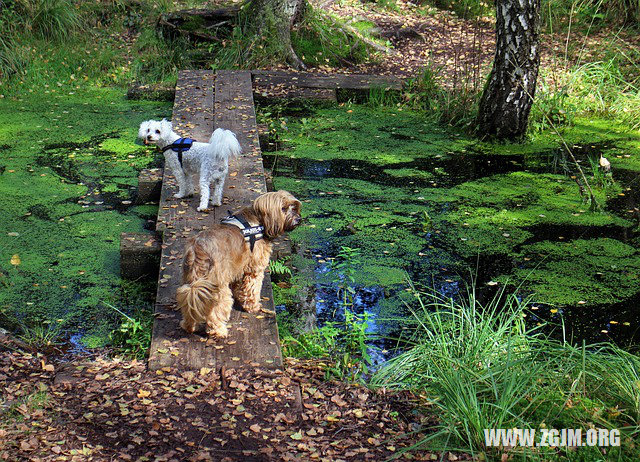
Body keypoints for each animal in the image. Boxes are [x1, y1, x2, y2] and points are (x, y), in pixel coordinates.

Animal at [176, 189, 302, 338]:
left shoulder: (238, 267)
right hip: (217, 287)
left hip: (192, 282)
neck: (259, 221)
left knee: (189, 303)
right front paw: (253, 307)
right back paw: (218, 331)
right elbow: (252, 290)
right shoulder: (254, 269)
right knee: (216, 310)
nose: (298, 219)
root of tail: (198, 249)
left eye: (293, 207)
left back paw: (189, 325)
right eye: (283, 208)